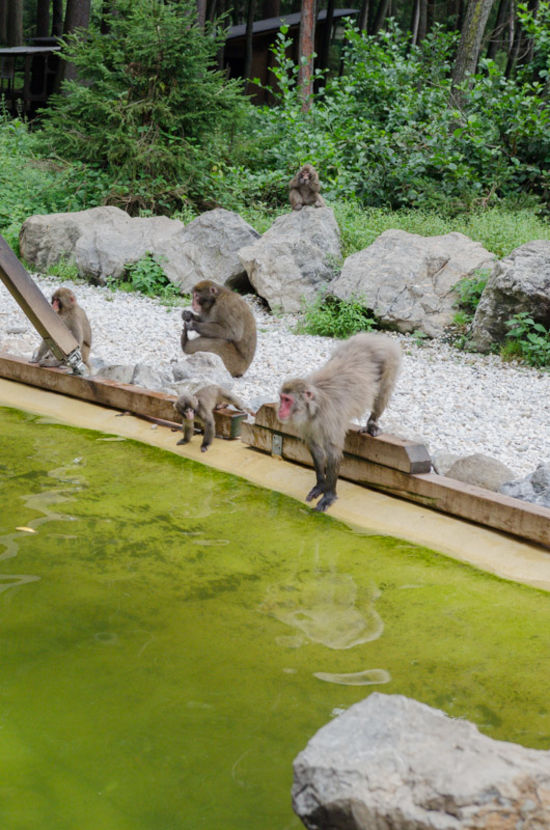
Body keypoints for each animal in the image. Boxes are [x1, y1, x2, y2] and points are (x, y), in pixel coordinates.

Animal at [278, 332, 401, 512]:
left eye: (287, 400)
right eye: (281, 398)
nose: (279, 409)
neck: (314, 409)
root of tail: (373, 337)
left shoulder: (330, 419)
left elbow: (333, 452)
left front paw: (329, 495)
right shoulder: (306, 424)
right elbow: (316, 450)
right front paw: (320, 485)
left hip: (389, 359)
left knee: (382, 391)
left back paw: (372, 422)